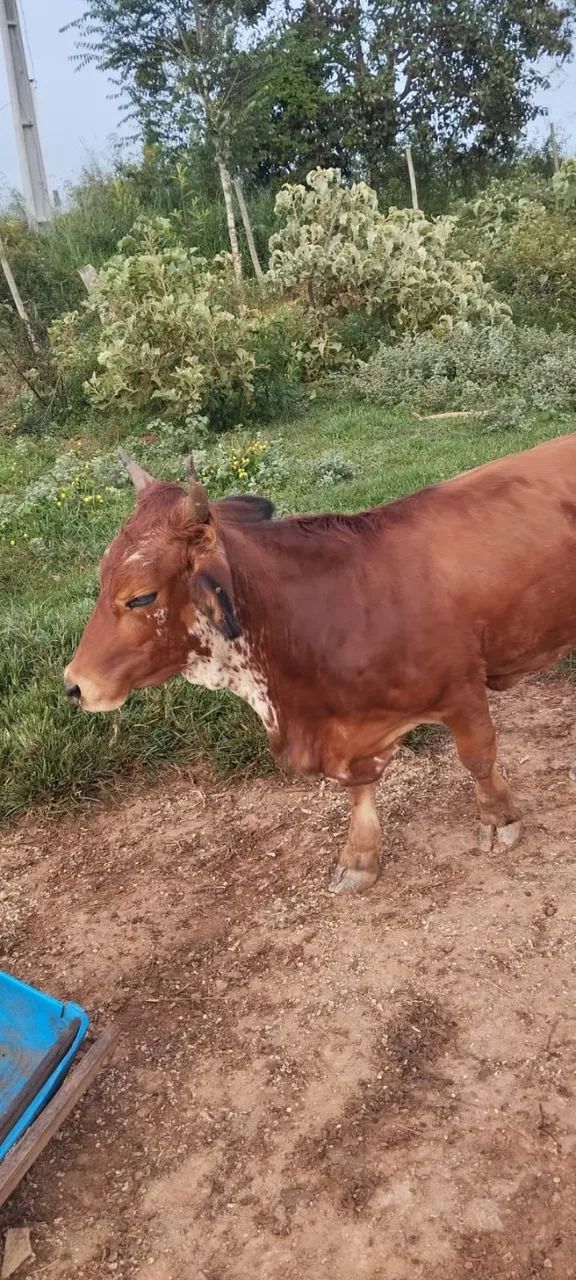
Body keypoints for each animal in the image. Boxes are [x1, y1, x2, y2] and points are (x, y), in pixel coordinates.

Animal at [64, 434, 576, 894]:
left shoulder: (462, 690)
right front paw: (360, 857)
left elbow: (478, 757)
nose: (75, 684)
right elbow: (358, 789)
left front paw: (499, 819)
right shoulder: (347, 730)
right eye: (101, 575)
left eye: (141, 597)